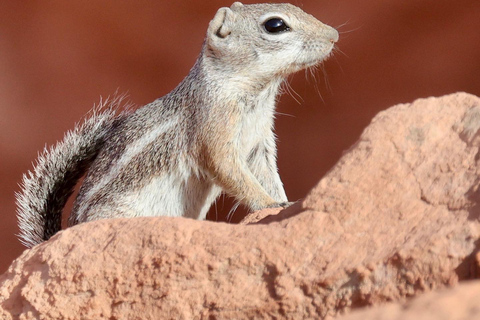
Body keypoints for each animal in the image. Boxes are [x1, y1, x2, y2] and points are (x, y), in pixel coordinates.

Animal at [15, 1, 338, 248]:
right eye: (275, 25)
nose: (334, 34)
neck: (255, 94)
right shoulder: (213, 132)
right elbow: (232, 173)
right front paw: (270, 204)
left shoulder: (260, 145)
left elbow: (269, 175)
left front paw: (286, 202)